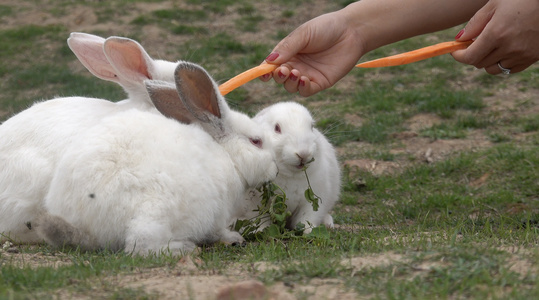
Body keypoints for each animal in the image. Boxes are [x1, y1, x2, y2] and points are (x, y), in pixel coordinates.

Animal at [33, 62, 278, 255]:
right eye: (256, 141)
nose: (275, 169)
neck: (226, 155)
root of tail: (81, 223)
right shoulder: (217, 212)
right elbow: (217, 231)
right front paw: (234, 238)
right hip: (154, 211)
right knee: (140, 246)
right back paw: (184, 248)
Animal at [239, 102, 342, 233]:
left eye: (311, 127)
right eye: (277, 128)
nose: (303, 154)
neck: (289, 174)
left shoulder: (313, 199)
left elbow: (307, 217)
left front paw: (309, 231)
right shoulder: (254, 202)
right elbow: (260, 218)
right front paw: (262, 230)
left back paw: (328, 224)